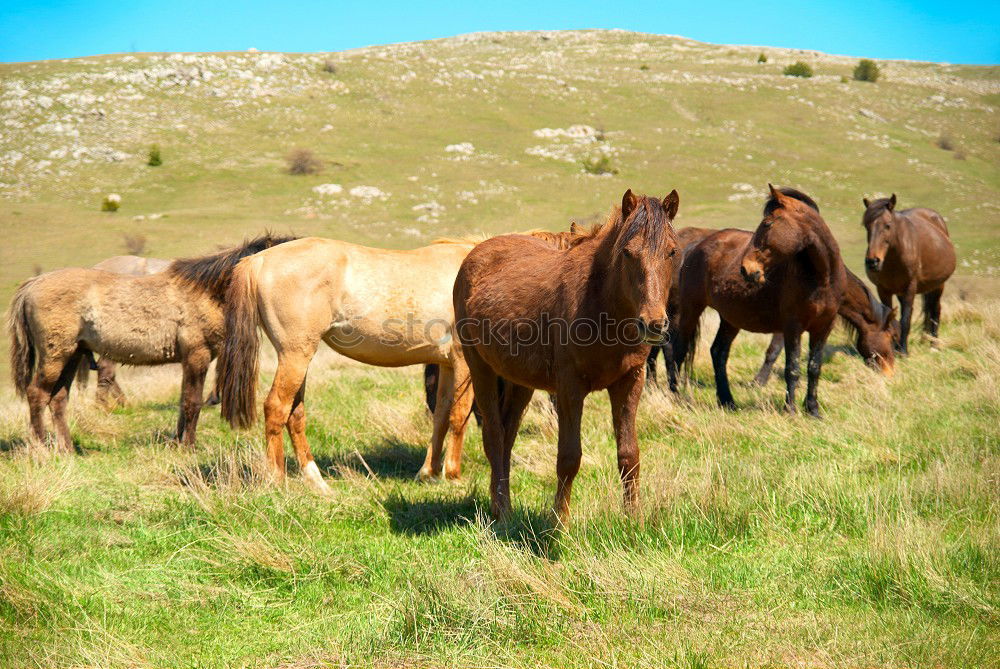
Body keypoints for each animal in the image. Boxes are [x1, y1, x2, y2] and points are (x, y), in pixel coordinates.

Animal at [7, 232, 292, 452]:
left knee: (58, 399)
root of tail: (33, 284)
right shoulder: (196, 357)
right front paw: (188, 447)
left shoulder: (191, 361)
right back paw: (42, 448)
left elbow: (184, 401)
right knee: (37, 394)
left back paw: (66, 449)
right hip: (55, 357)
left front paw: (178, 442)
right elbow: (192, 402)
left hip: (73, 355)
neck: (206, 290)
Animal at [218, 237, 480, 494]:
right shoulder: (463, 364)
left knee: (295, 414)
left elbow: (441, 415)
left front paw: (429, 473)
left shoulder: (447, 365)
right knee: (276, 408)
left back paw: (316, 482)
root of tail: (259, 260)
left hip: (297, 357)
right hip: (294, 355)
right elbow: (459, 415)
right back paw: (277, 481)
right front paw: (453, 475)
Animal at [454, 188, 680, 520]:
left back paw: (502, 504)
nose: (653, 323)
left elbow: (629, 454)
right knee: (494, 436)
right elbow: (569, 458)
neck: (600, 304)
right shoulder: (569, 388)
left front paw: (633, 519)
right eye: (627, 252)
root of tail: (476, 252)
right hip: (480, 368)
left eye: (672, 252)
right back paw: (502, 513)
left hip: (520, 381)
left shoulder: (630, 382)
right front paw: (559, 523)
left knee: (508, 436)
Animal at [668, 188, 848, 414]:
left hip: (730, 320)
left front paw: (813, 410)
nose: (746, 269)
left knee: (718, 352)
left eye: (768, 224)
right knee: (678, 351)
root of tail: (695, 247)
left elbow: (814, 368)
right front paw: (790, 409)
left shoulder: (823, 328)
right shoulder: (793, 327)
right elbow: (792, 368)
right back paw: (676, 397)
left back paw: (727, 401)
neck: (822, 279)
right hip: (691, 310)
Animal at [860, 193, 952, 354]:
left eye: (888, 225)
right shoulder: (884, 290)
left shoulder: (910, 287)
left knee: (935, 310)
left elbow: (905, 319)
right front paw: (892, 347)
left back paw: (933, 344)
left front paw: (903, 351)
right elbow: (889, 317)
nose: (872, 261)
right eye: (866, 226)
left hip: (938, 285)